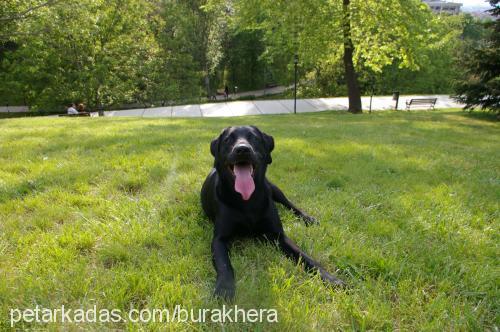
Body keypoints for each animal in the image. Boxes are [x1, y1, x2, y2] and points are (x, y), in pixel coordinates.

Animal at [200, 126, 344, 300]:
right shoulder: (219, 239)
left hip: (275, 189)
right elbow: (224, 264)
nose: (242, 149)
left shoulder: (278, 236)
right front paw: (224, 288)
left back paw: (307, 218)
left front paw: (331, 279)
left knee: (290, 205)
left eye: (254, 138)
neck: (247, 201)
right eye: (228, 139)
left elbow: (305, 256)